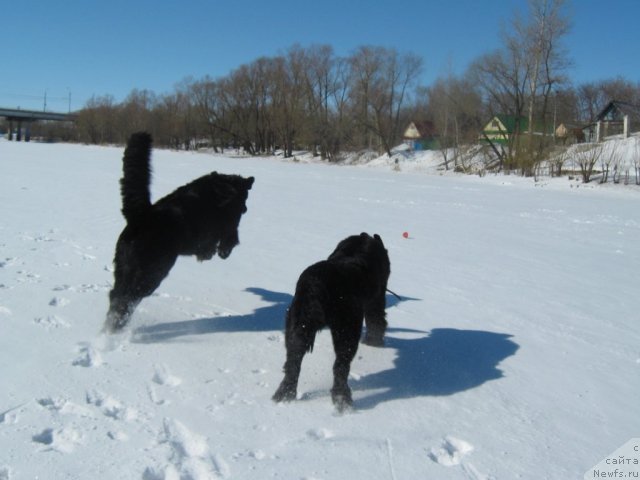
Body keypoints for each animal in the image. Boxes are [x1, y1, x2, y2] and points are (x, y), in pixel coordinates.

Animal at [104, 132, 254, 334]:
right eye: (243, 199)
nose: (245, 208)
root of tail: (140, 216)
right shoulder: (228, 225)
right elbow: (230, 237)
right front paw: (221, 251)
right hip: (150, 273)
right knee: (127, 299)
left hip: (124, 269)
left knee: (115, 296)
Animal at [272, 233, 390, 412]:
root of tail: (316, 286)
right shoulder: (376, 300)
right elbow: (377, 321)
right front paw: (374, 342)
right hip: (348, 328)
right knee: (340, 365)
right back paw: (342, 399)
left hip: (297, 323)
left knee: (293, 361)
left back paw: (285, 393)